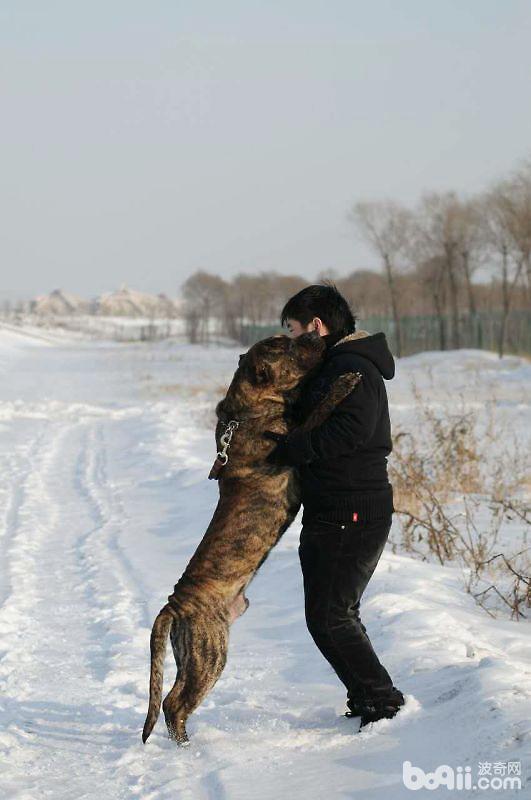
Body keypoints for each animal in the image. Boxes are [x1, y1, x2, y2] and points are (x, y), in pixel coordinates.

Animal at [142, 332, 362, 744]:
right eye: (288, 347)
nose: (312, 335)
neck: (246, 411)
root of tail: (173, 605)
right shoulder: (296, 439)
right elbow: (319, 409)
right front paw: (344, 383)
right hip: (210, 653)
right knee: (174, 703)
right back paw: (187, 748)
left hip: (189, 654)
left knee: (172, 698)